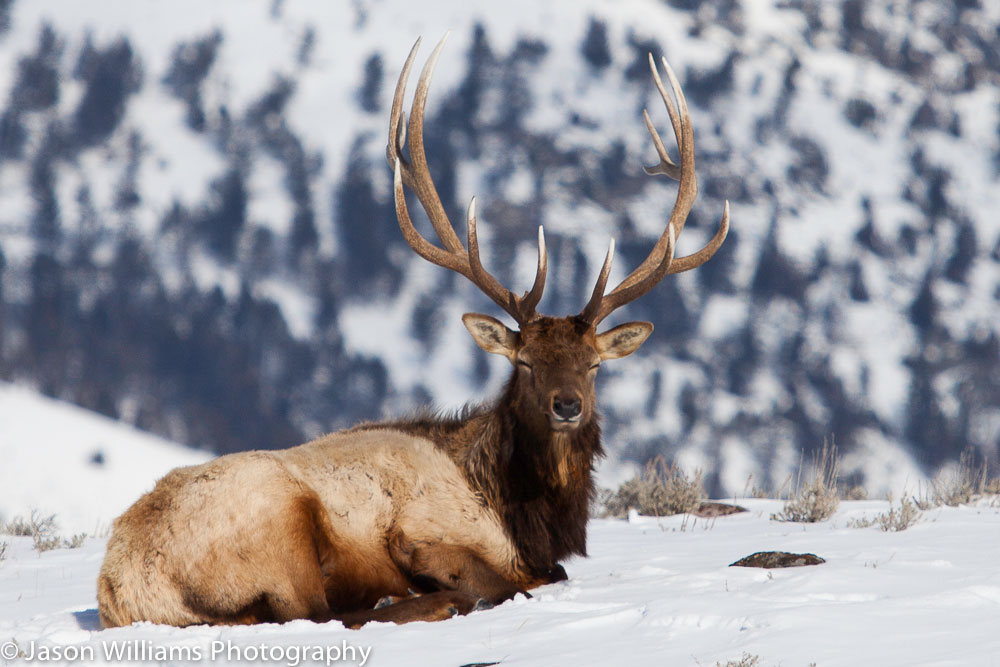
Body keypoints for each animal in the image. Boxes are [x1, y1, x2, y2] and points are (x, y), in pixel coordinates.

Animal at [95, 34, 728, 628]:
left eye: (594, 365)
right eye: (523, 362)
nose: (567, 405)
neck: (517, 512)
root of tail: (121, 589)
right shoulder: (421, 533)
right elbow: (519, 581)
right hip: (279, 518)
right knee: (319, 612)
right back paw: (424, 602)